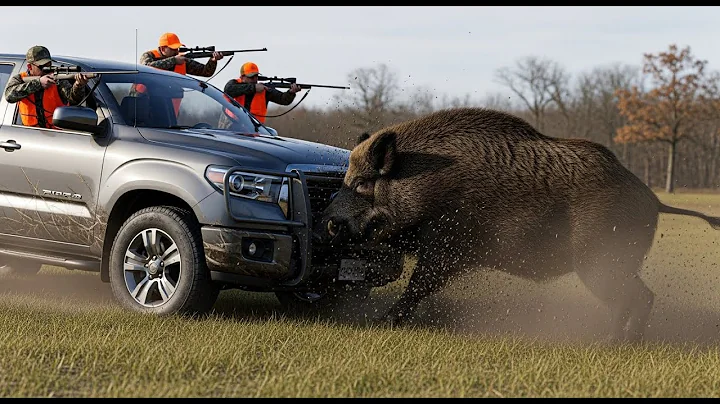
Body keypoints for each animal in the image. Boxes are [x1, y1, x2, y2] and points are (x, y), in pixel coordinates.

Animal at [315, 107, 720, 343]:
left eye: (362, 183)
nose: (326, 223)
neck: (425, 186)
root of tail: (653, 200)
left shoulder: (447, 248)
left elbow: (417, 286)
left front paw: (383, 322)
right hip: (617, 262)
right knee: (644, 295)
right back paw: (625, 341)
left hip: (602, 262)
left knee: (633, 297)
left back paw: (610, 342)